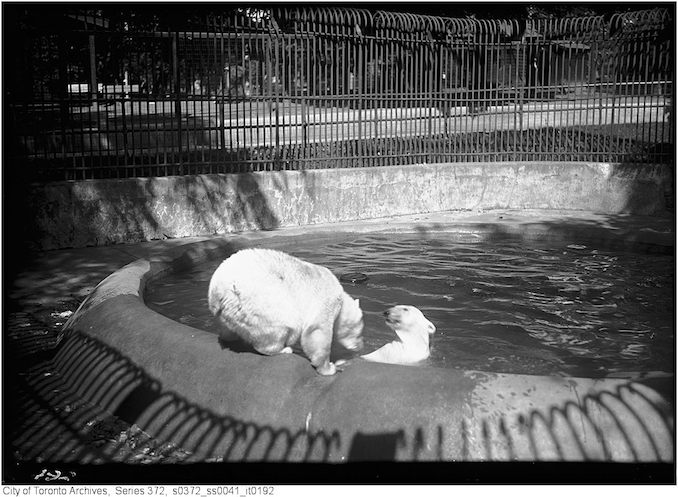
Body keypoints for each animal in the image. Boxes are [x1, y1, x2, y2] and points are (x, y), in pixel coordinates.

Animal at [209, 248, 364, 376]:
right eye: (359, 331)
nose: (360, 346)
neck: (342, 300)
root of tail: (220, 289)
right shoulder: (327, 298)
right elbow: (317, 329)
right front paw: (329, 367)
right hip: (262, 302)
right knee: (280, 325)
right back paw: (283, 349)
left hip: (228, 312)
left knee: (228, 329)